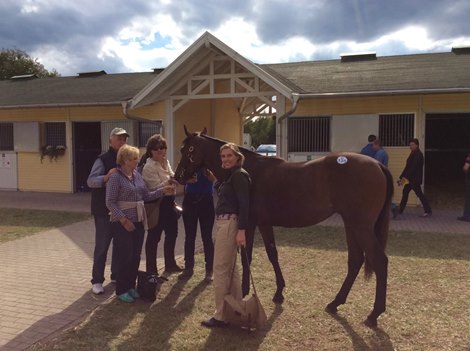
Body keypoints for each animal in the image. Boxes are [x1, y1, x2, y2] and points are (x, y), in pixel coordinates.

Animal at [173, 126, 392, 328]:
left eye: (189, 149)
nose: (178, 176)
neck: (247, 168)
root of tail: (377, 164)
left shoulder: (249, 224)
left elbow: (247, 257)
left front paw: (244, 292)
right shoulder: (264, 223)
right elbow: (272, 254)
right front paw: (279, 292)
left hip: (361, 226)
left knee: (379, 261)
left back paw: (374, 314)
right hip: (351, 224)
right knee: (355, 260)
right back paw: (335, 303)